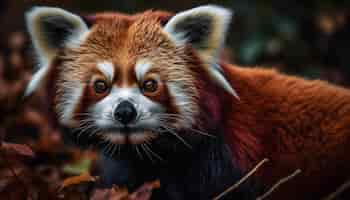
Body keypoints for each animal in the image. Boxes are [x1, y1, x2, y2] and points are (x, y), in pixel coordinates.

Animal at [23, 4, 350, 200]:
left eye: (150, 84)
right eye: (100, 86)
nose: (125, 112)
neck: (152, 153)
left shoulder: (223, 161)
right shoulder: (126, 168)